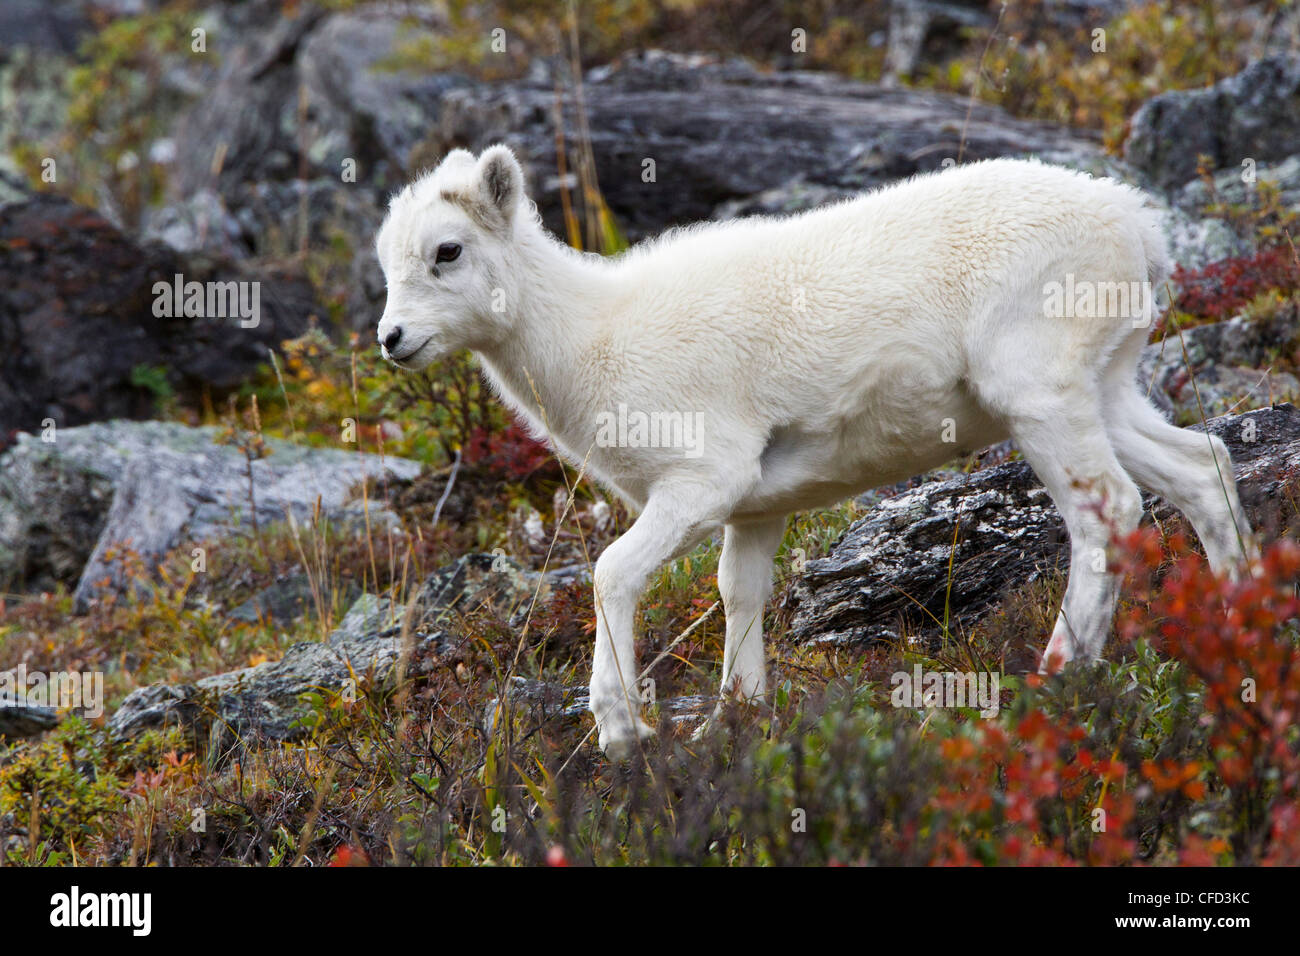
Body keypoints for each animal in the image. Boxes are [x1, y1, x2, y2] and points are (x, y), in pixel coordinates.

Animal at [371, 145, 1253, 759]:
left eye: (447, 251)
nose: (392, 339)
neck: (594, 336)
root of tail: (1134, 223)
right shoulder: (753, 510)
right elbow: (740, 596)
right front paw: (731, 723)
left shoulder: (701, 485)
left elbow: (610, 574)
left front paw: (624, 733)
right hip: (1107, 390)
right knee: (1201, 469)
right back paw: (1240, 623)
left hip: (1042, 397)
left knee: (1109, 514)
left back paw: (1059, 672)